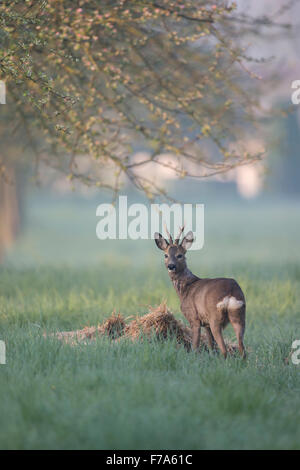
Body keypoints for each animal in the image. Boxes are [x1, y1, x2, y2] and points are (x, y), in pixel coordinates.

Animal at [155, 226, 246, 358]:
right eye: (165, 255)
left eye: (180, 255)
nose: (171, 266)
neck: (185, 288)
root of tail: (230, 292)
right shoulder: (206, 323)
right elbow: (211, 346)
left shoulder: (194, 318)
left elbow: (195, 346)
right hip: (239, 315)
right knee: (242, 350)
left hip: (215, 318)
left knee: (224, 350)